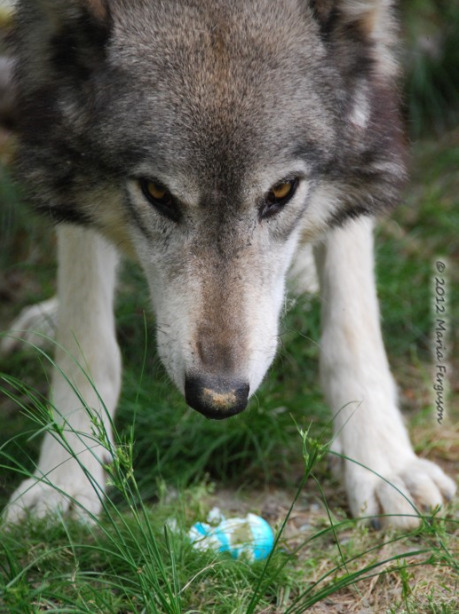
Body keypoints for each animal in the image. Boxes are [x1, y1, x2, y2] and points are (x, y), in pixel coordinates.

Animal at [2, 0, 456, 528]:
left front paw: (384, 465)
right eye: (157, 193)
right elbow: (87, 330)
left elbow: (351, 321)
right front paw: (65, 474)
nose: (218, 398)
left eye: (281, 191)